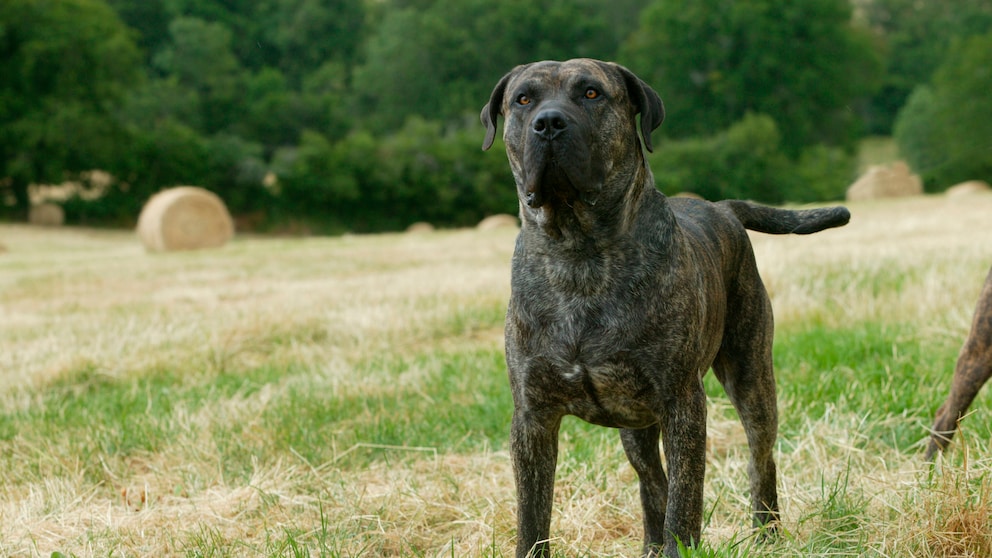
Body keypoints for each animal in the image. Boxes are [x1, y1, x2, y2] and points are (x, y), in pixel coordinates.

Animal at [482, 58, 852, 558]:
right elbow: (533, 516)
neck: (579, 255)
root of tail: (722, 207)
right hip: (635, 424)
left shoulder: (683, 403)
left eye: (592, 93)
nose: (549, 123)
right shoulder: (532, 418)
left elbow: (685, 501)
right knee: (651, 481)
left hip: (751, 376)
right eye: (523, 99)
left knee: (760, 460)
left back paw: (767, 533)